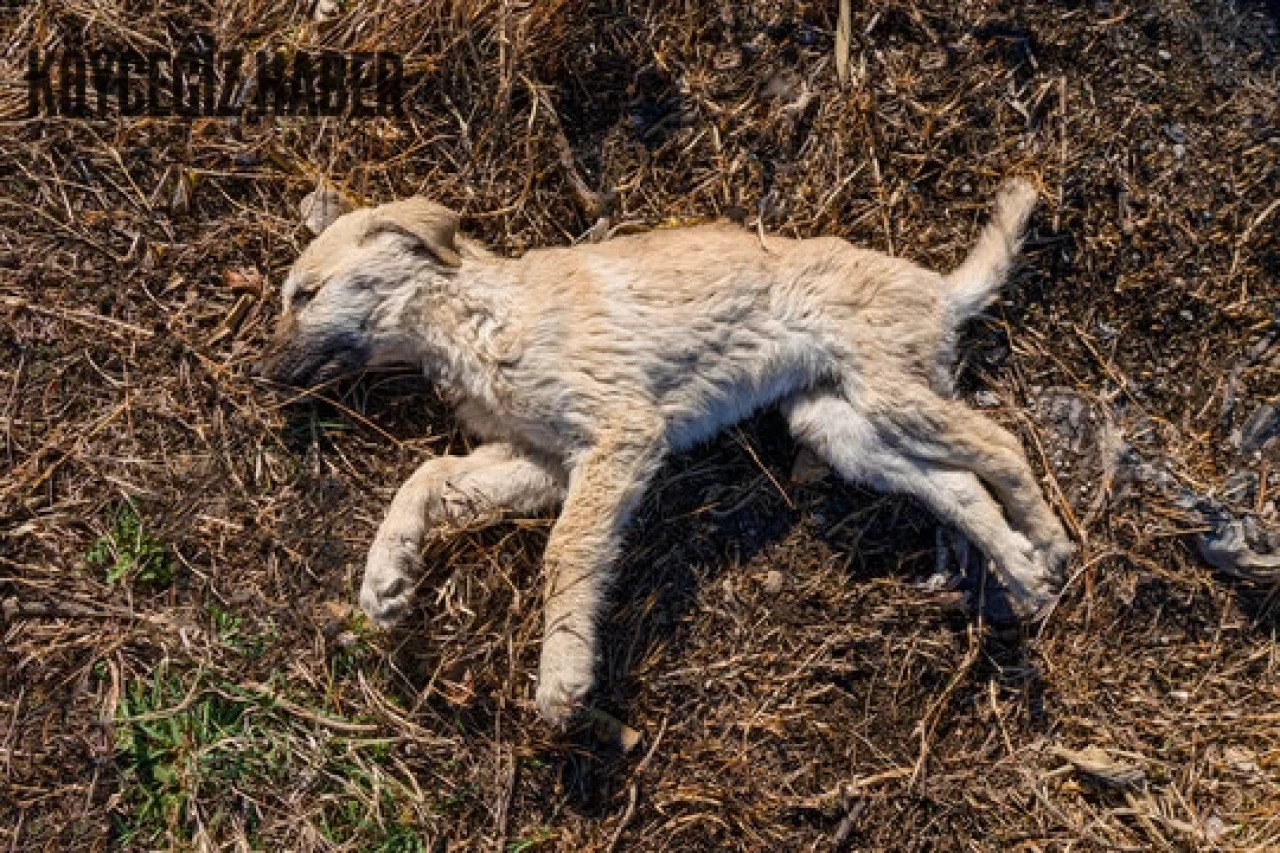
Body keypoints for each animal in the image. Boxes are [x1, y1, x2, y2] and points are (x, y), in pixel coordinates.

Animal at [264, 179, 1075, 722]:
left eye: (305, 294)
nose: (260, 377)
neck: (474, 320)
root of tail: (938, 290)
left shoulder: (620, 434)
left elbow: (570, 550)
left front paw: (562, 671)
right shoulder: (542, 459)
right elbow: (426, 475)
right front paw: (385, 579)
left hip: (886, 395)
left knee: (998, 442)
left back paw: (1048, 542)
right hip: (844, 428)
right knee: (959, 485)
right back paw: (1023, 575)